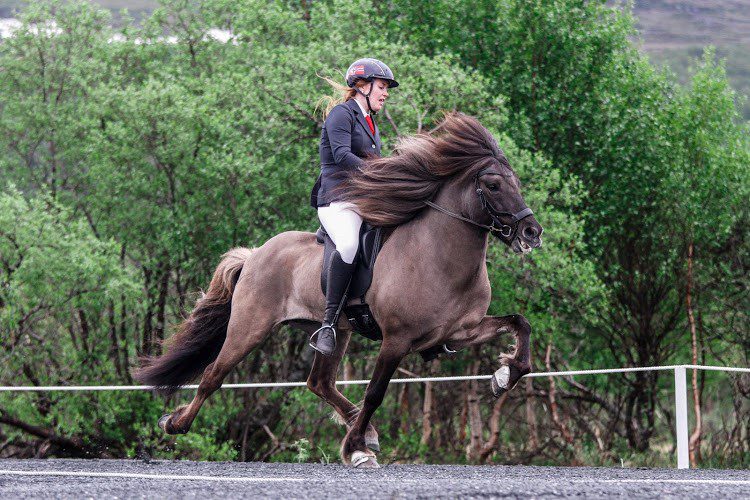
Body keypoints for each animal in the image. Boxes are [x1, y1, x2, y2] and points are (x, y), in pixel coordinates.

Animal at [135, 113, 544, 468]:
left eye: (517, 182)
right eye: (493, 185)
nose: (532, 233)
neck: (439, 256)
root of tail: (254, 255)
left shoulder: (460, 331)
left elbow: (520, 325)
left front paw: (505, 375)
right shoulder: (396, 339)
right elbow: (376, 392)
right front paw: (354, 448)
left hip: (334, 332)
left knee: (319, 382)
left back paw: (364, 432)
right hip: (249, 328)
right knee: (213, 375)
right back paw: (175, 423)